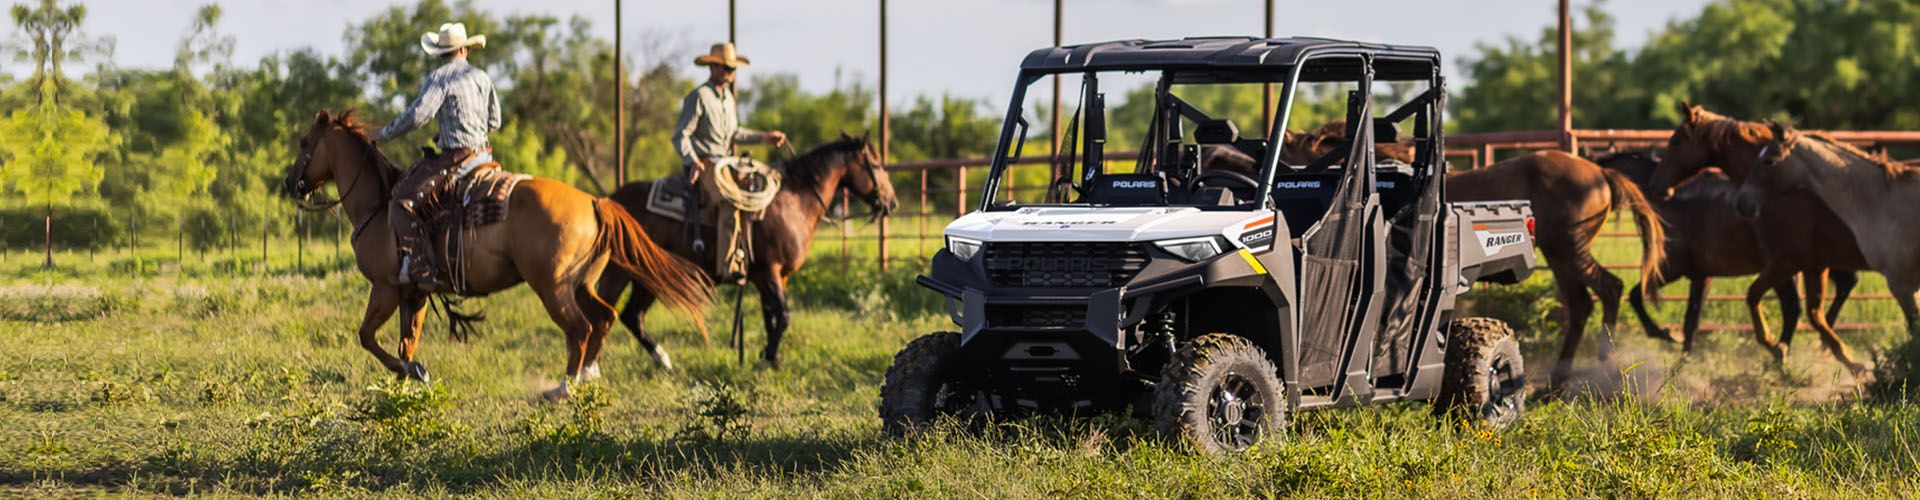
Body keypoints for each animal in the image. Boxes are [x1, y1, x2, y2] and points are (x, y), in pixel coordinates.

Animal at [278, 111, 714, 400]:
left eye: (304, 143)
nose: (289, 183)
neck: (381, 205)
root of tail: (595, 202)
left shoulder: (385, 287)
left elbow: (368, 336)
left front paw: (410, 374)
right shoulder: (413, 293)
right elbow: (407, 341)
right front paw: (407, 381)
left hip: (552, 287)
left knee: (579, 329)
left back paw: (564, 387)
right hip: (583, 283)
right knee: (604, 318)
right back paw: (589, 376)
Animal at [602, 134, 894, 369]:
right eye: (877, 165)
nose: (891, 203)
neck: (795, 201)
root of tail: (610, 200)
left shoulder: (777, 276)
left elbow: (771, 317)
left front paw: (771, 358)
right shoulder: (768, 272)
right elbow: (783, 316)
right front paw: (766, 359)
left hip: (647, 275)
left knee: (632, 316)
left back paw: (662, 361)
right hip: (620, 272)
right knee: (607, 309)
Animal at [1643, 104, 1866, 371]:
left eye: (1675, 142)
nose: (1655, 184)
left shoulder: (1787, 261)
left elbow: (1769, 301)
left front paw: (1777, 347)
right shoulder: (1804, 263)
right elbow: (1806, 310)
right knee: (1844, 286)